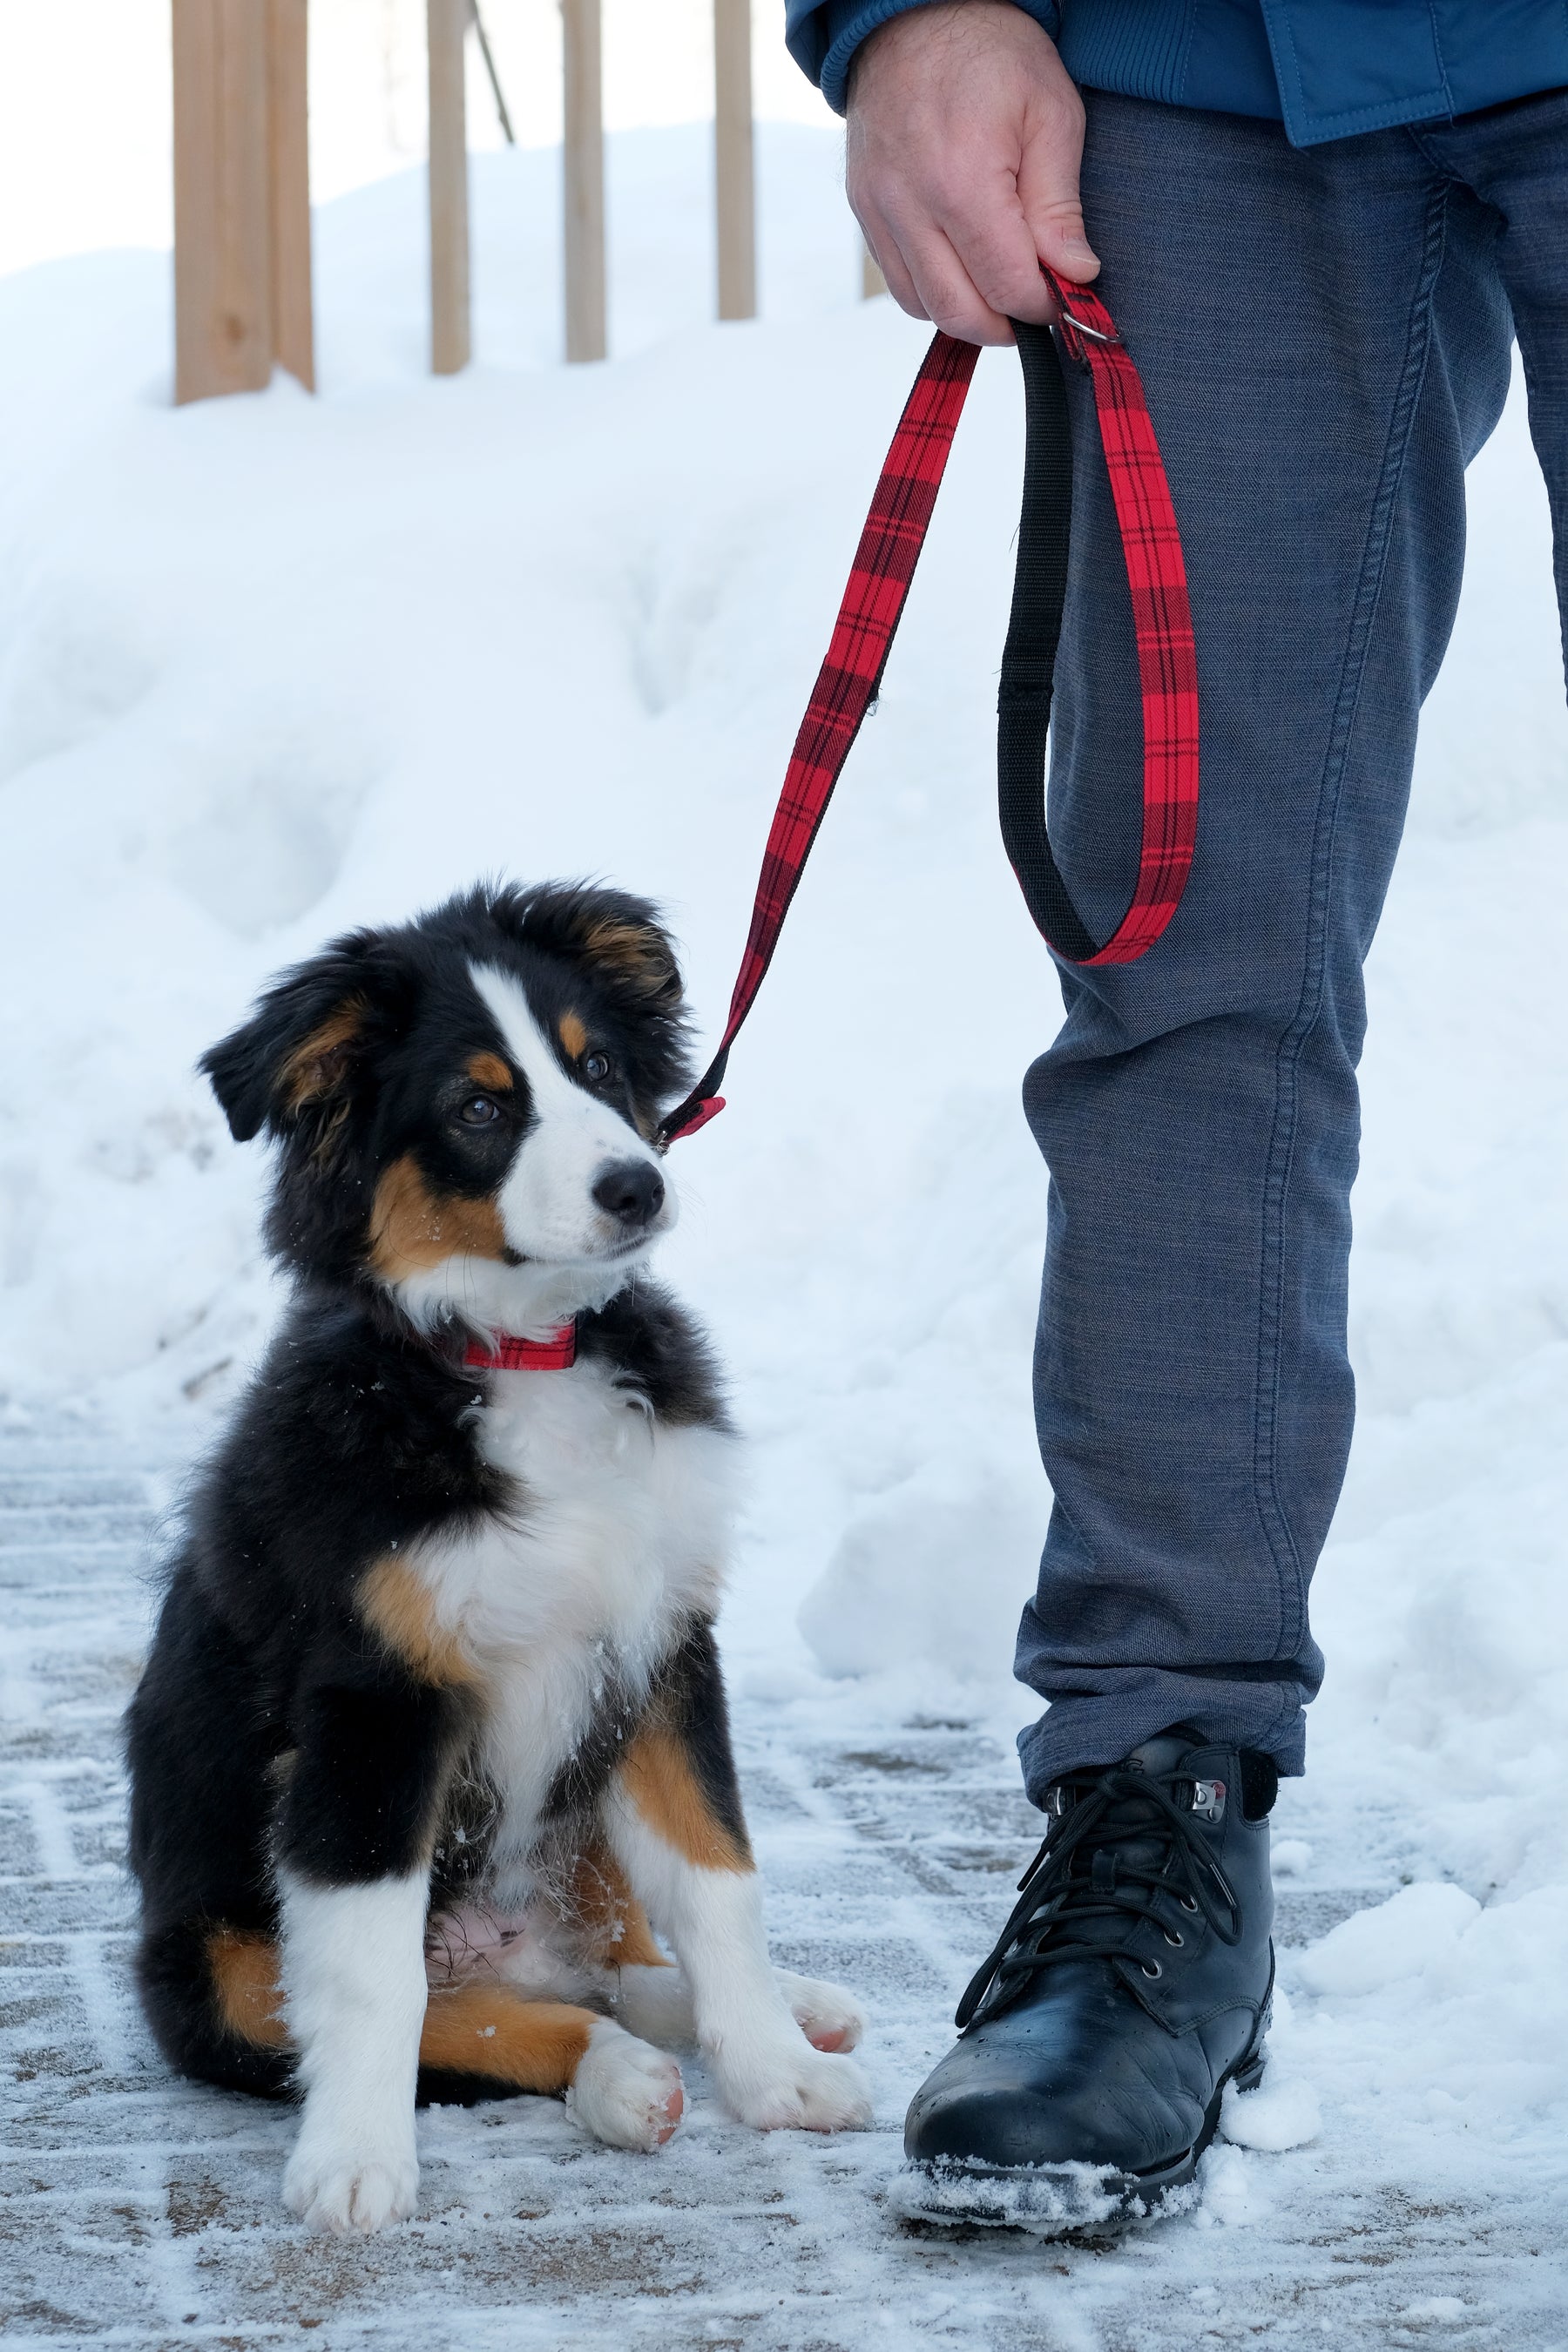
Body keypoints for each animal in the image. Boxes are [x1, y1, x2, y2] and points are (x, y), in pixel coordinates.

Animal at [125, 875, 869, 2229]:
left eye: (601, 1068)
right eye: (478, 1106)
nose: (638, 1187)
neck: (522, 1356)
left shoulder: (661, 1646)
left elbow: (718, 1877)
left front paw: (775, 2073)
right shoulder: (372, 1699)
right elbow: (376, 1978)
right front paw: (355, 2164)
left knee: (617, 1965)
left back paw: (788, 2013)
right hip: (209, 1966)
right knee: (471, 2010)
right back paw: (618, 2079)